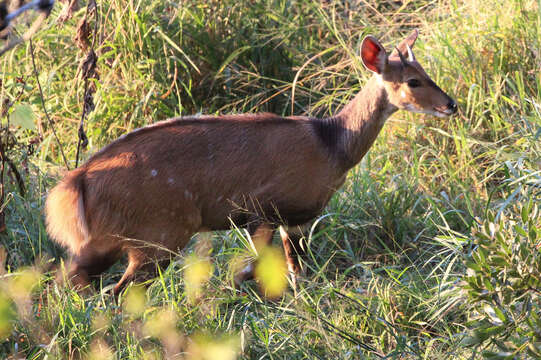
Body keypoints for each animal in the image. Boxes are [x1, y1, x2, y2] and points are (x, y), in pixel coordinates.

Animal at [45, 30, 456, 296]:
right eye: (414, 81)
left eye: (426, 73)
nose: (451, 104)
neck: (333, 145)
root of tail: (76, 181)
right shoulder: (263, 210)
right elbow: (255, 269)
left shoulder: (295, 220)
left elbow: (294, 273)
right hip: (160, 236)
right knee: (114, 292)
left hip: (108, 242)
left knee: (68, 281)